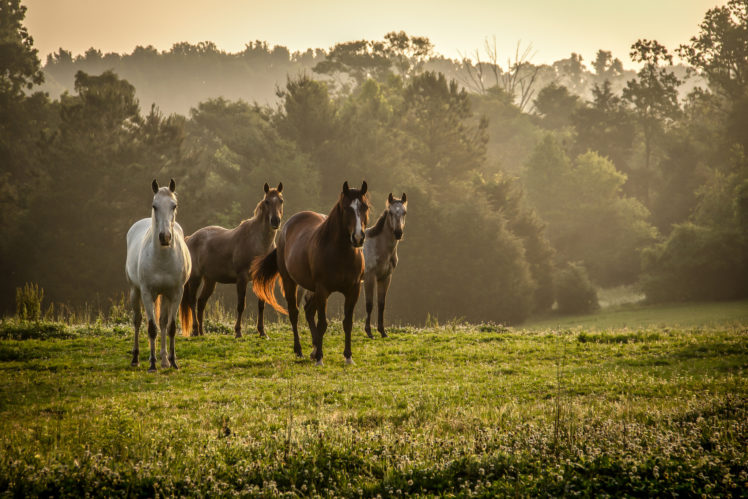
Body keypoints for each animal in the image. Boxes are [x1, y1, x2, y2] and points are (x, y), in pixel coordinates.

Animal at [125, 179, 191, 372]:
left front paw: (173, 361)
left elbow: (170, 327)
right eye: (154, 206)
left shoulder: (176, 294)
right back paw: (136, 358)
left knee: (162, 322)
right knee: (138, 321)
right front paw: (152, 364)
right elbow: (152, 328)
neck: (162, 259)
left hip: (165, 296)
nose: (165, 237)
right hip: (135, 291)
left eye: (174, 205)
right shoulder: (147, 293)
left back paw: (164, 360)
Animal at [179, 184, 284, 340]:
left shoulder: (259, 278)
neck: (258, 243)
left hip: (210, 280)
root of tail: (190, 238)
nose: (275, 221)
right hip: (195, 278)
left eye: (281, 201)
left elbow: (261, 305)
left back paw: (202, 332)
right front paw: (238, 332)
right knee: (192, 301)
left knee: (201, 302)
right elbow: (241, 305)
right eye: (267, 202)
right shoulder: (242, 279)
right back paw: (196, 330)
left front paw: (262, 332)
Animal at [251, 182, 368, 366]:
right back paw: (299, 350)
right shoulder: (323, 289)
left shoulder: (353, 290)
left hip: (312, 289)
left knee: (308, 311)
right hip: (290, 282)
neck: (340, 253)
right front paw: (320, 357)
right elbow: (322, 324)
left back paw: (313, 348)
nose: (358, 238)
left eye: (365, 207)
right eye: (346, 208)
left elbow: (347, 323)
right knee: (295, 313)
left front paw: (348, 356)